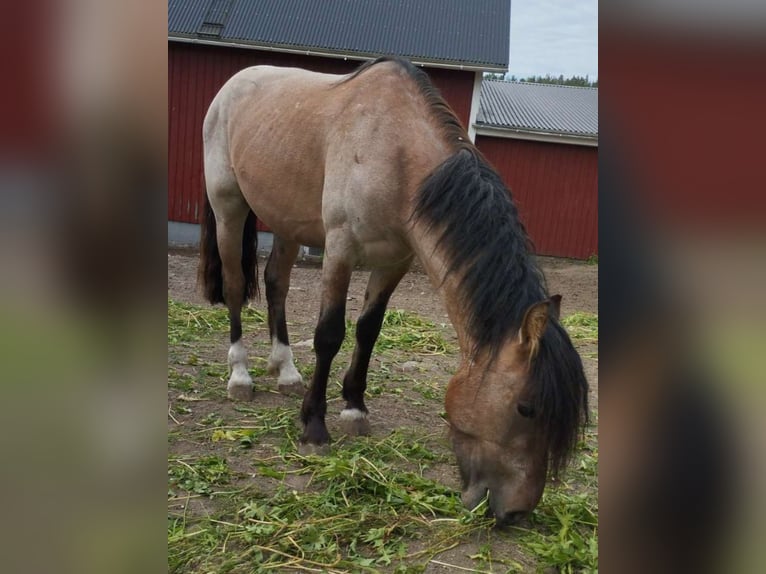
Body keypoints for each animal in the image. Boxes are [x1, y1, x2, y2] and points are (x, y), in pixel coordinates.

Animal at [198, 57, 588, 528]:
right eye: (526, 408)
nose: (517, 512)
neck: (396, 153)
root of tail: (232, 84)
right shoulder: (340, 249)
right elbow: (330, 335)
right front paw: (315, 427)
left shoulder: (395, 262)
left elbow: (369, 331)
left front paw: (354, 408)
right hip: (229, 207)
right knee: (237, 286)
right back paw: (240, 374)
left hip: (287, 221)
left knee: (277, 283)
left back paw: (285, 369)